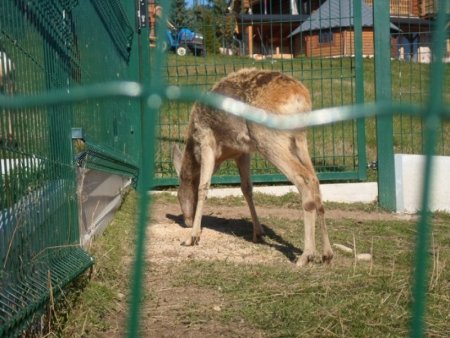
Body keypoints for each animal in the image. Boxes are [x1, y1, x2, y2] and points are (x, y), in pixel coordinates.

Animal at [172, 66, 334, 266]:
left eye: (178, 195)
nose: (186, 221)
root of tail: (300, 97)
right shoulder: (242, 152)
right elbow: (247, 188)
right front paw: (258, 233)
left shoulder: (206, 139)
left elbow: (204, 186)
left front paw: (192, 237)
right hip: (299, 138)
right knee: (314, 178)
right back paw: (327, 254)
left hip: (268, 138)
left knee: (303, 179)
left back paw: (306, 255)